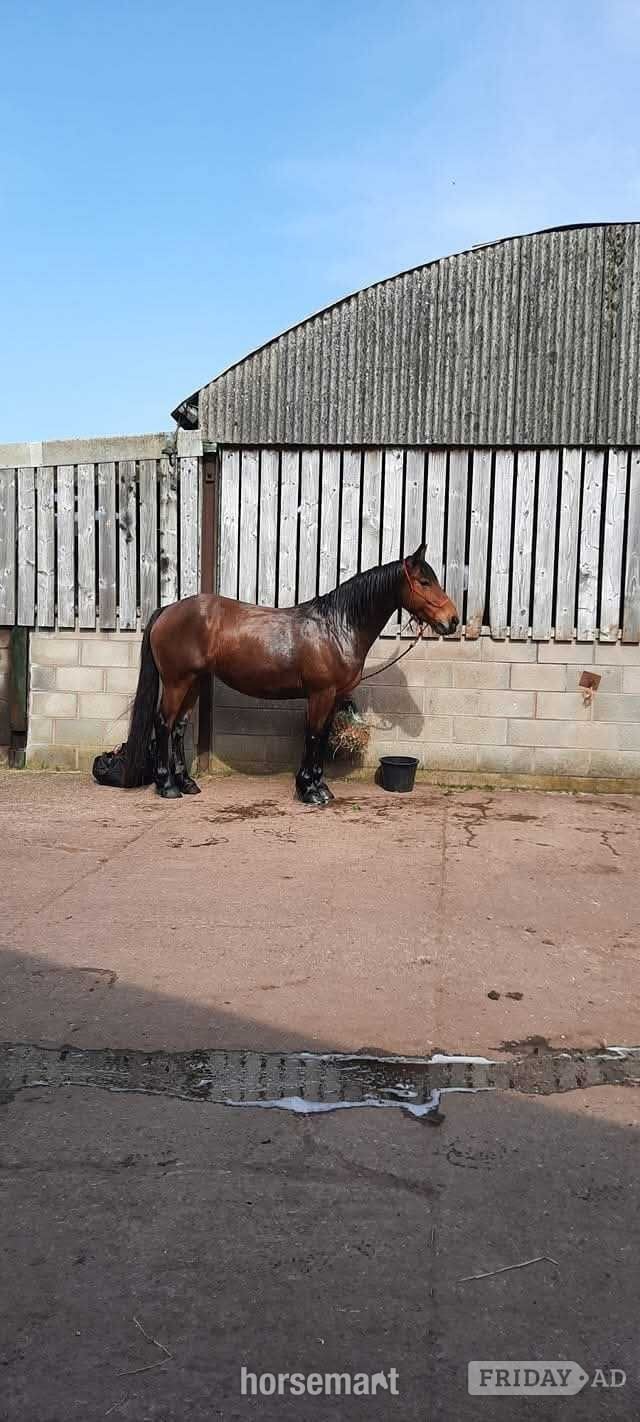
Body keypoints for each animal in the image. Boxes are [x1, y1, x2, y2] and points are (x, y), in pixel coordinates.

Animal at [123, 545, 459, 804]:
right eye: (424, 581)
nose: (453, 620)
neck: (336, 627)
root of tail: (167, 610)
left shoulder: (334, 697)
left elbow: (323, 737)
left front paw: (320, 786)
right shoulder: (320, 694)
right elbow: (313, 736)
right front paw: (309, 791)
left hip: (193, 682)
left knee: (178, 727)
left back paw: (187, 784)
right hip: (176, 682)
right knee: (163, 724)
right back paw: (167, 786)